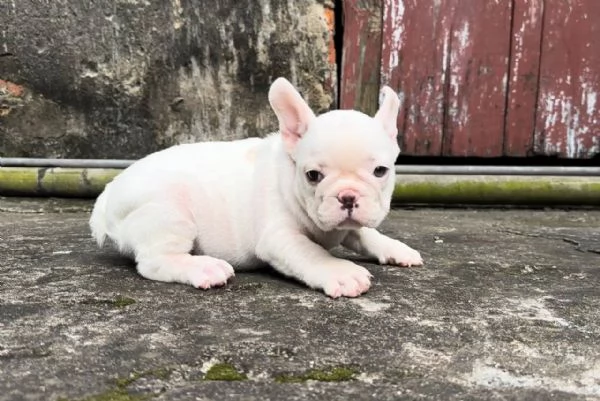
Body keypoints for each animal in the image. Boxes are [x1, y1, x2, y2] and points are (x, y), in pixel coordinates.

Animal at [91, 77, 424, 296]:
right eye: (313, 175)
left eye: (380, 171)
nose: (348, 197)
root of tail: (107, 195)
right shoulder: (280, 238)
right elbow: (312, 253)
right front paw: (340, 271)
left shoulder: (350, 224)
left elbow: (366, 233)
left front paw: (395, 248)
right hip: (169, 212)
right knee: (154, 262)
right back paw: (204, 268)